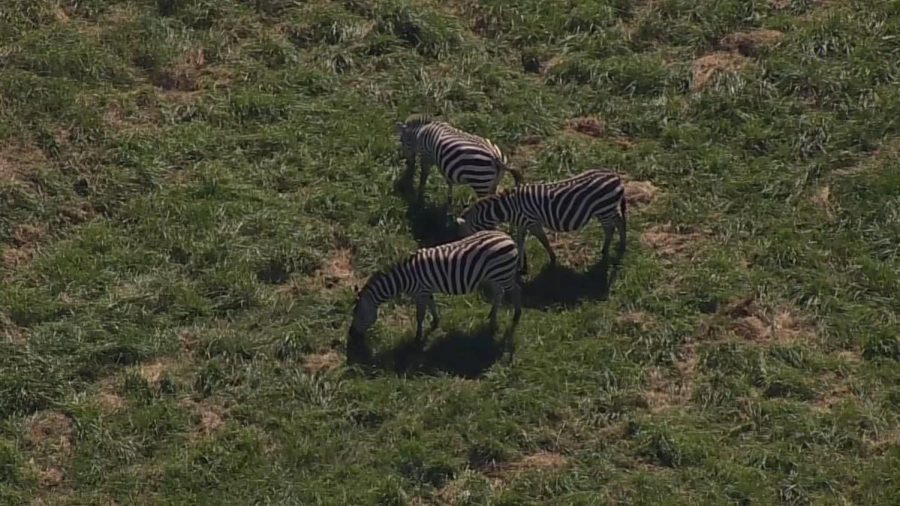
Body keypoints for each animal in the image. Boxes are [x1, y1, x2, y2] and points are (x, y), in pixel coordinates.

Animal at [348, 229, 524, 364]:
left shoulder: (420, 292)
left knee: (515, 290)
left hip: (503, 274)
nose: (351, 335)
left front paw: (418, 338)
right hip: (494, 276)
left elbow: (419, 315)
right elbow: (432, 306)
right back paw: (492, 317)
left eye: (359, 315)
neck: (403, 278)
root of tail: (507, 237)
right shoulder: (426, 291)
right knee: (499, 294)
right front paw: (435, 322)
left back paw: (516, 315)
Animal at [396, 113, 528, 203]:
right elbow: (447, 178)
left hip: (480, 182)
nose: (406, 161)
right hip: (494, 182)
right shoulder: (441, 161)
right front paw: (449, 199)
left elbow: (424, 176)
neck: (422, 131)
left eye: (401, 140)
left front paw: (420, 196)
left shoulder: (427, 156)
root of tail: (496, 157)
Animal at [458, 169, 624, 272]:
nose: (468, 253)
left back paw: (606, 250)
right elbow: (520, 241)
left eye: (467, 234)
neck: (509, 208)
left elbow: (543, 240)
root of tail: (614, 175)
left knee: (611, 228)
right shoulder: (522, 224)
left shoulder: (532, 223)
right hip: (607, 209)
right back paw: (622, 244)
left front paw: (552, 259)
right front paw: (521, 265)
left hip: (604, 209)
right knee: (620, 221)